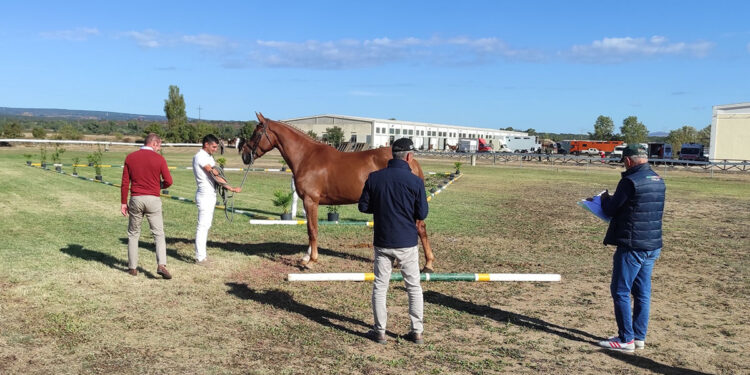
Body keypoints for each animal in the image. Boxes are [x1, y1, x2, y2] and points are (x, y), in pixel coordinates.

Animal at [244, 113, 438, 272]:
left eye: (256, 133)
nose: (245, 155)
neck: (306, 156)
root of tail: (411, 160)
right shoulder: (309, 202)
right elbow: (310, 228)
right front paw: (306, 257)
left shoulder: (310, 200)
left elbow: (312, 230)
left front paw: (311, 261)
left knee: (420, 228)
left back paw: (428, 264)